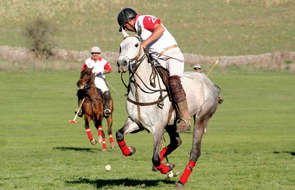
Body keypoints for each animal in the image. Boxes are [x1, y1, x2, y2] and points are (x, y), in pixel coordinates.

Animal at [115, 32, 222, 187]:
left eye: (136, 45)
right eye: (120, 46)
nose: (122, 63)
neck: (141, 91)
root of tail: (213, 84)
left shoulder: (158, 127)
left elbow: (155, 158)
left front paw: (166, 168)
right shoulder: (136, 122)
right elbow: (119, 134)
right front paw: (130, 150)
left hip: (202, 118)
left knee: (195, 151)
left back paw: (181, 181)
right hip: (171, 124)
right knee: (177, 141)